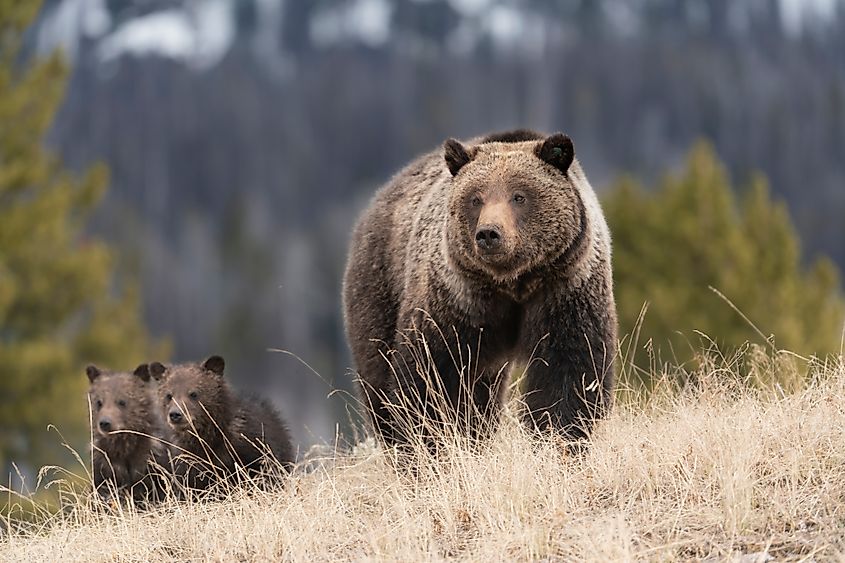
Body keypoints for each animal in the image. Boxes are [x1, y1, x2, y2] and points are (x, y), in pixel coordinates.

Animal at [343, 129, 617, 447]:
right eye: (475, 198)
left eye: (519, 196)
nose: (489, 233)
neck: (513, 284)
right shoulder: (458, 300)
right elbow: (430, 373)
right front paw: (430, 441)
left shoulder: (564, 289)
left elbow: (569, 371)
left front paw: (559, 437)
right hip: (379, 285)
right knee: (378, 369)